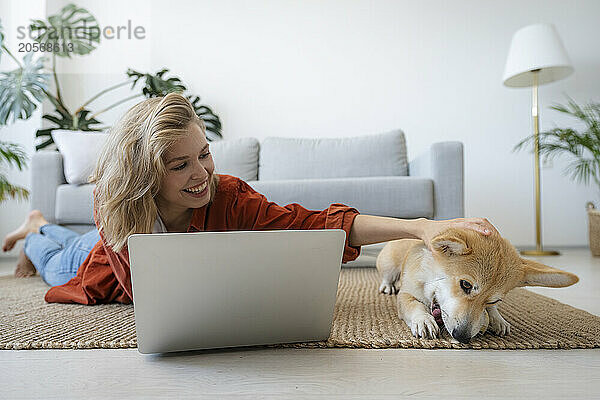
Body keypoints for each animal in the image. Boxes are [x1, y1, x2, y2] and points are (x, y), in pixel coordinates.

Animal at [378, 228, 580, 344]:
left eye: (493, 301)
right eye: (466, 284)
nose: (462, 337)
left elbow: (494, 313)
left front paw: (498, 320)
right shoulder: (406, 295)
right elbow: (414, 305)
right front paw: (423, 321)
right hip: (388, 265)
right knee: (387, 277)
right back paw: (388, 286)